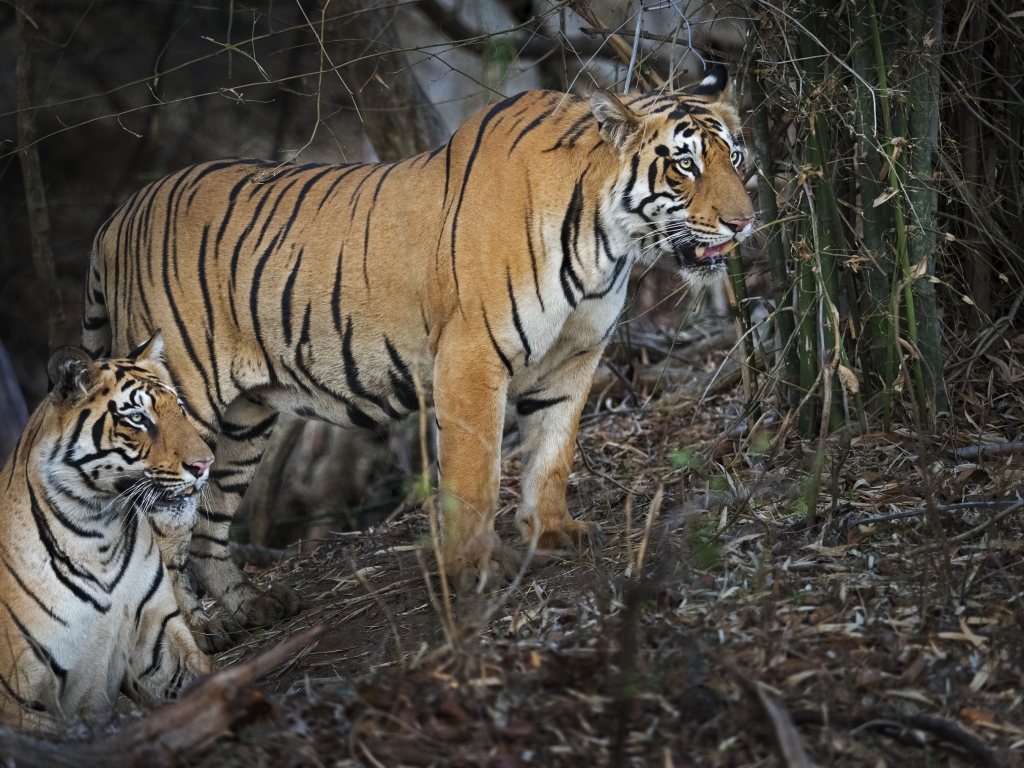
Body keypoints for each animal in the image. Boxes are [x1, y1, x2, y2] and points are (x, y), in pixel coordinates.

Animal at [0, 337, 210, 733]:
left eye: (178, 408)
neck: (97, 535)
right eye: (138, 418)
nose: (206, 464)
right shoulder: (21, 697)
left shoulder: (158, 635)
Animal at [81, 66, 753, 647]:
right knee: (159, 526)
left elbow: (552, 452)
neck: (605, 241)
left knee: (208, 522)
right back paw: (202, 632)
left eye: (737, 158)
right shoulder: (473, 356)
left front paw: (555, 532)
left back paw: (252, 606)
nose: (744, 223)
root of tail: (115, 219)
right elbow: (475, 474)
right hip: (185, 400)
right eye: (685, 165)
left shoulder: (575, 356)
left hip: (241, 424)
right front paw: (476, 567)